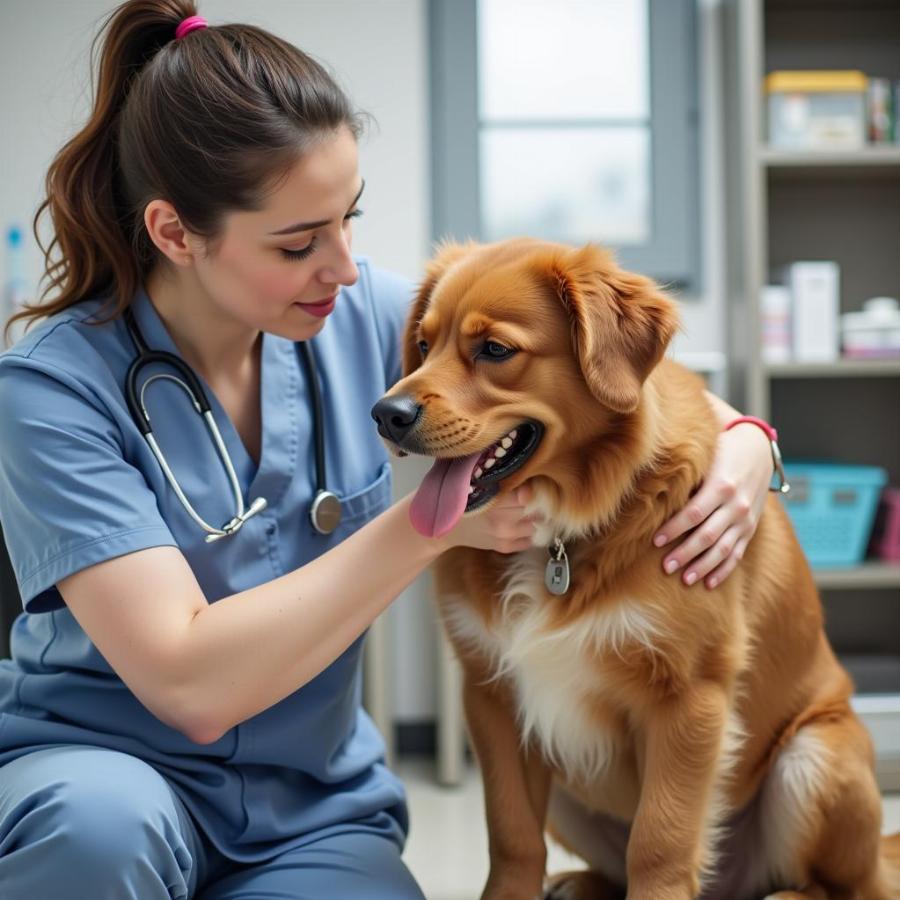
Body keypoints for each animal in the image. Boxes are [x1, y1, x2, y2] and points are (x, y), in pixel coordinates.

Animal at [372, 241, 900, 900]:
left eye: (493, 350)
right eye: (422, 344)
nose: (384, 413)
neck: (562, 534)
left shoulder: (688, 698)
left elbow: (660, 841)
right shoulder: (490, 694)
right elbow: (512, 833)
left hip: (813, 757)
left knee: (845, 886)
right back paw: (580, 883)